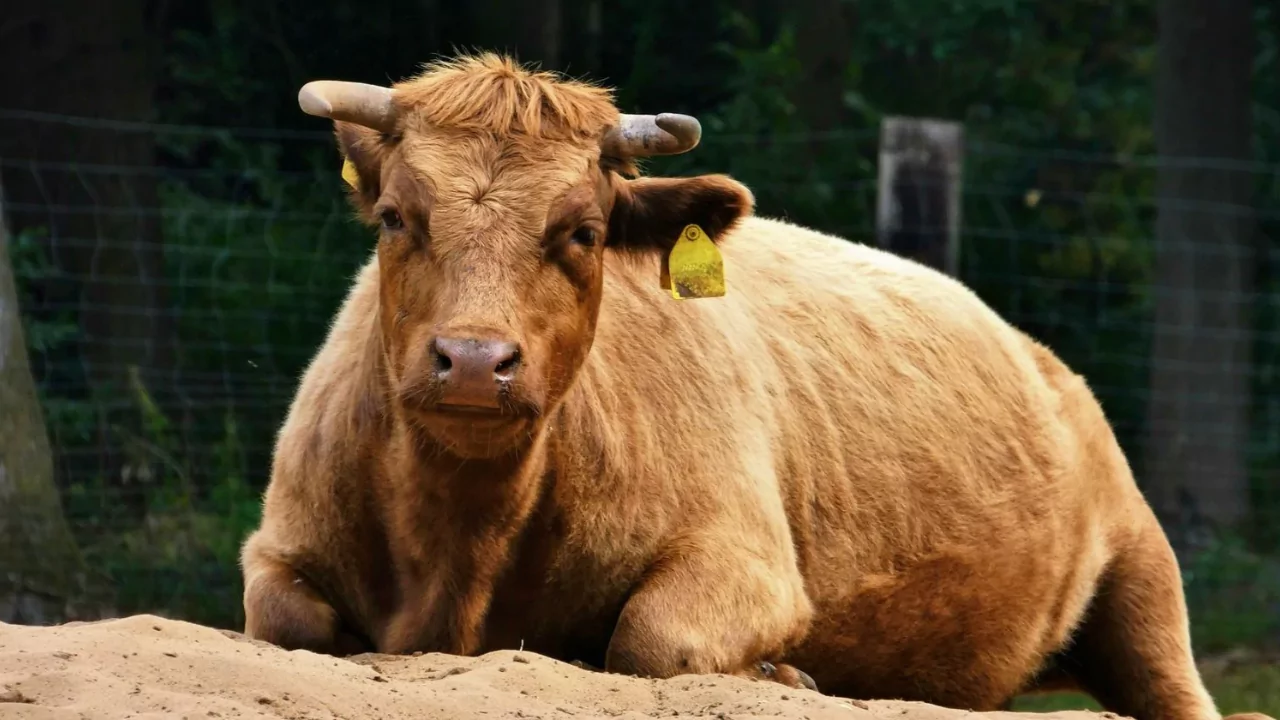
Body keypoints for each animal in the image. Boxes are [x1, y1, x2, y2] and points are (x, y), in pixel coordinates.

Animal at [238, 53, 1271, 720]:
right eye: (394, 216)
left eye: (582, 231)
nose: (474, 362)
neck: (461, 550)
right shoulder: (280, 546)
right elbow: (285, 621)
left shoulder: (747, 561)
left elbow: (656, 643)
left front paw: (783, 675)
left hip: (1143, 574)